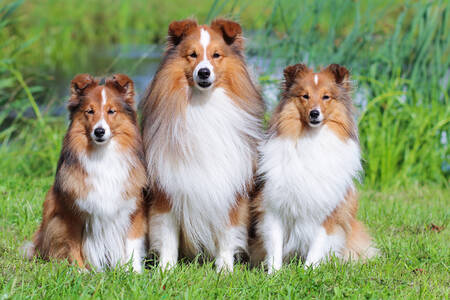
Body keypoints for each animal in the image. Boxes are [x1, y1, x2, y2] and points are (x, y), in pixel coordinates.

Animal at [23, 73, 147, 272]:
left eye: (111, 111)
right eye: (90, 111)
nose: (99, 131)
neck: (102, 156)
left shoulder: (133, 209)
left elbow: (132, 244)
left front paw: (133, 272)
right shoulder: (71, 213)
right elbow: (73, 246)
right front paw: (81, 272)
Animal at [142, 18, 264, 272]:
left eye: (216, 55)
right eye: (192, 55)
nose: (204, 72)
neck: (203, 105)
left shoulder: (230, 189)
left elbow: (227, 234)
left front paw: (224, 269)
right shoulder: (168, 189)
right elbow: (167, 236)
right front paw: (166, 270)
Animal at [251, 64, 378, 274]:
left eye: (326, 97)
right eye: (305, 96)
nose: (314, 114)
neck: (311, 139)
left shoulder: (329, 213)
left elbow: (317, 244)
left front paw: (307, 272)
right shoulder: (273, 207)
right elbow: (275, 243)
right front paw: (274, 274)